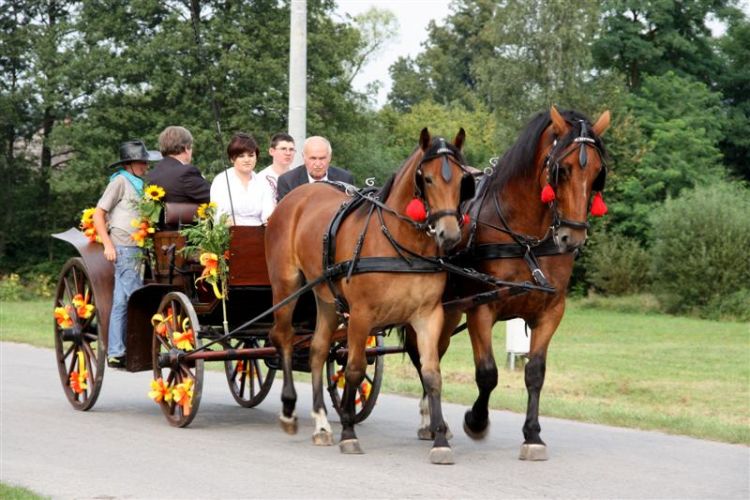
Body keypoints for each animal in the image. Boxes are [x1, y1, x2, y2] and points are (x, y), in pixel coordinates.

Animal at [268, 129, 472, 464]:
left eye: (460, 180)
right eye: (428, 179)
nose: (450, 235)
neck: (400, 243)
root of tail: (297, 196)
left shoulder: (428, 315)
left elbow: (431, 373)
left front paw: (440, 440)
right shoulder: (361, 315)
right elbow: (354, 368)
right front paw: (349, 432)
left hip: (326, 298)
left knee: (318, 349)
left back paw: (321, 422)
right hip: (287, 286)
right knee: (282, 336)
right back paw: (288, 410)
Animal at [406, 105, 612, 460]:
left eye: (598, 171)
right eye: (563, 169)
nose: (572, 237)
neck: (525, 238)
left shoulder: (551, 310)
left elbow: (535, 371)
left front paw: (533, 435)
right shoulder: (481, 309)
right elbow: (487, 373)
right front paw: (476, 421)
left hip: (447, 312)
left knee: (432, 355)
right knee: (422, 357)